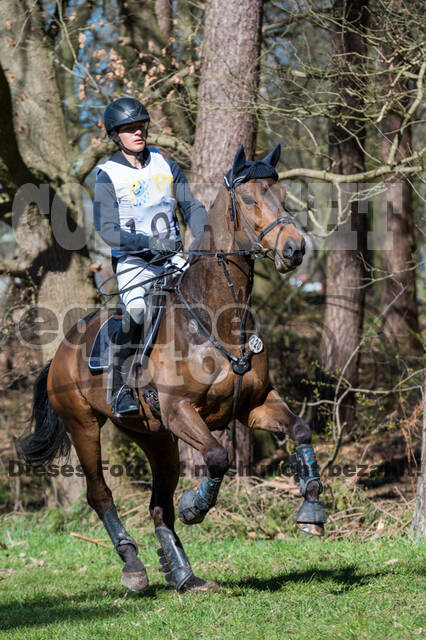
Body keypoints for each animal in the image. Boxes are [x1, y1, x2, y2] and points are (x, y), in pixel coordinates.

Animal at [16, 145, 326, 596]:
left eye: (283, 196)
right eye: (250, 200)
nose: (295, 249)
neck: (217, 319)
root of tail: (58, 353)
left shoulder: (255, 405)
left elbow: (300, 431)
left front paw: (311, 507)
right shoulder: (181, 411)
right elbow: (217, 457)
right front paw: (196, 505)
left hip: (155, 437)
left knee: (158, 507)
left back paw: (183, 575)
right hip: (84, 426)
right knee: (100, 494)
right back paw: (133, 565)